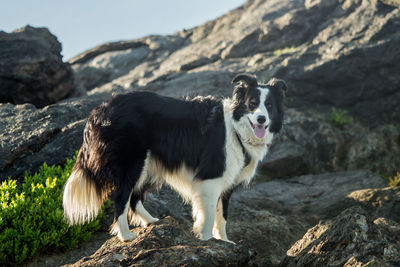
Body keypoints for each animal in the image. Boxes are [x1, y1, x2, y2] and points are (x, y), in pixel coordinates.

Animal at [63, 73, 288, 243]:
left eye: (269, 105)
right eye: (252, 103)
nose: (261, 119)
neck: (236, 129)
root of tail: (100, 109)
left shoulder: (227, 183)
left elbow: (222, 216)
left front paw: (224, 241)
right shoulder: (211, 177)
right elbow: (208, 216)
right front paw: (207, 240)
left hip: (148, 166)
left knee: (134, 198)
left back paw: (152, 221)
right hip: (133, 163)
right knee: (121, 198)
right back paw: (125, 235)